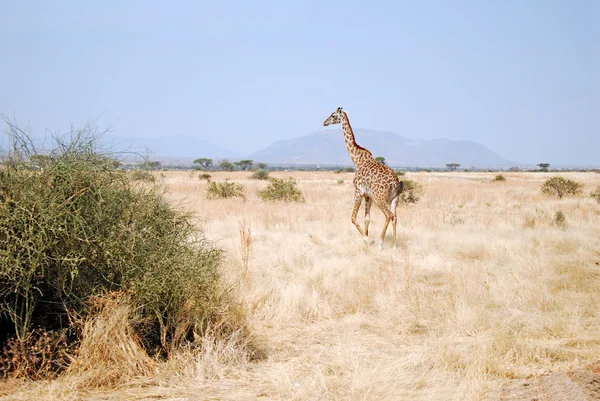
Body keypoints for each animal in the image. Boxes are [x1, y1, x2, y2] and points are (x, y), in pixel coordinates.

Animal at [324, 108, 404, 248]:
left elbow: (353, 218)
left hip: (380, 198)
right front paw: (366, 242)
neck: (357, 159)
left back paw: (380, 243)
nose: (324, 122)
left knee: (388, 215)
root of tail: (395, 183)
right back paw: (394, 246)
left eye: (333, 115)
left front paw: (368, 240)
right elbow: (367, 219)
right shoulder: (368, 196)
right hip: (395, 199)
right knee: (395, 217)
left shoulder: (358, 191)